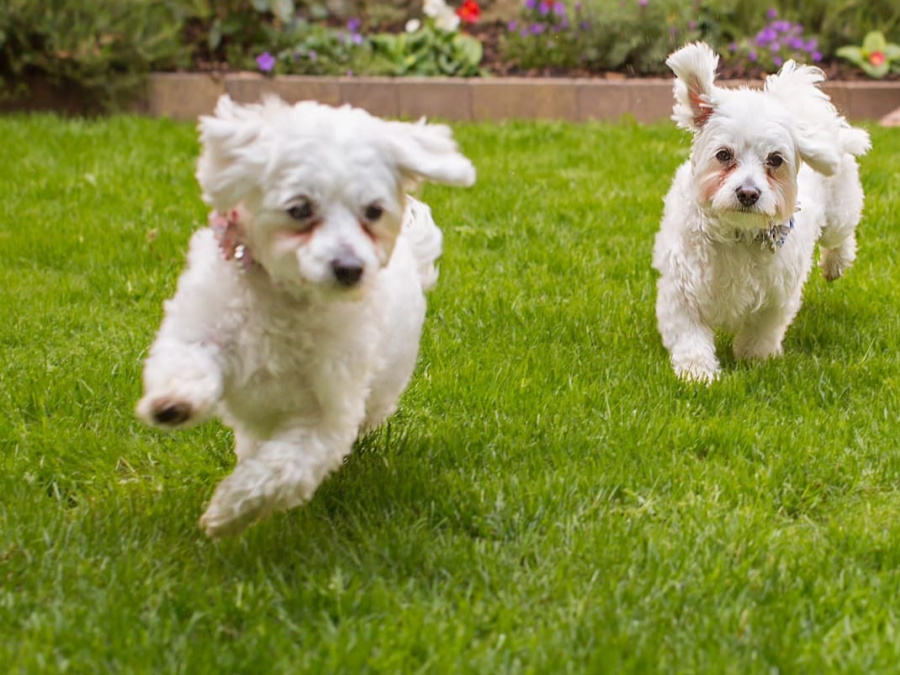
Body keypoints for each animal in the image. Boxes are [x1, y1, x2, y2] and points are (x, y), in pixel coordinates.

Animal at [137, 96, 474, 540]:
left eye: (373, 211)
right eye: (299, 209)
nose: (350, 268)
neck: (287, 298)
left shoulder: (326, 414)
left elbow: (281, 469)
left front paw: (228, 512)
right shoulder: (203, 324)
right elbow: (186, 359)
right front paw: (173, 403)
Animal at [652, 42, 872, 382]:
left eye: (775, 160)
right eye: (723, 155)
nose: (748, 193)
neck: (738, 234)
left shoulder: (778, 294)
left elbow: (762, 330)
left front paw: (756, 359)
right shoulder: (681, 289)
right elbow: (690, 335)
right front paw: (697, 372)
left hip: (840, 211)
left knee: (841, 237)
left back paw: (836, 263)